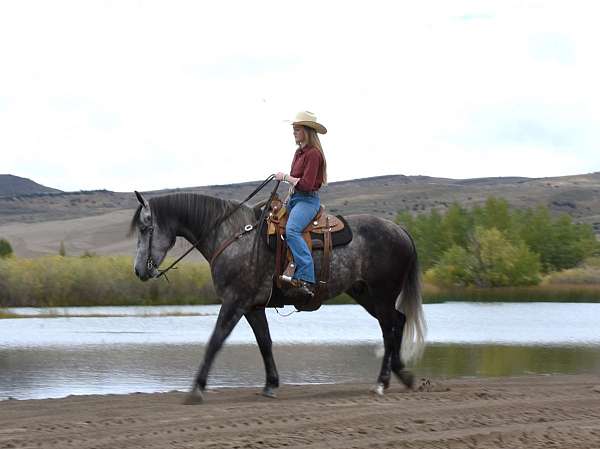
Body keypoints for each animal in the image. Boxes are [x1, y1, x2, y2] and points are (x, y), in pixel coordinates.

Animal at [130, 189, 426, 402]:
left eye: (145, 229)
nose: (139, 270)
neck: (232, 236)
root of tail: (400, 230)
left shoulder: (234, 302)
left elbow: (215, 340)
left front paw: (197, 389)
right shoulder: (252, 307)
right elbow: (265, 343)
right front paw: (271, 384)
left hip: (382, 293)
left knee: (389, 329)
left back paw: (382, 383)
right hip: (365, 294)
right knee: (398, 322)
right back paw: (404, 375)